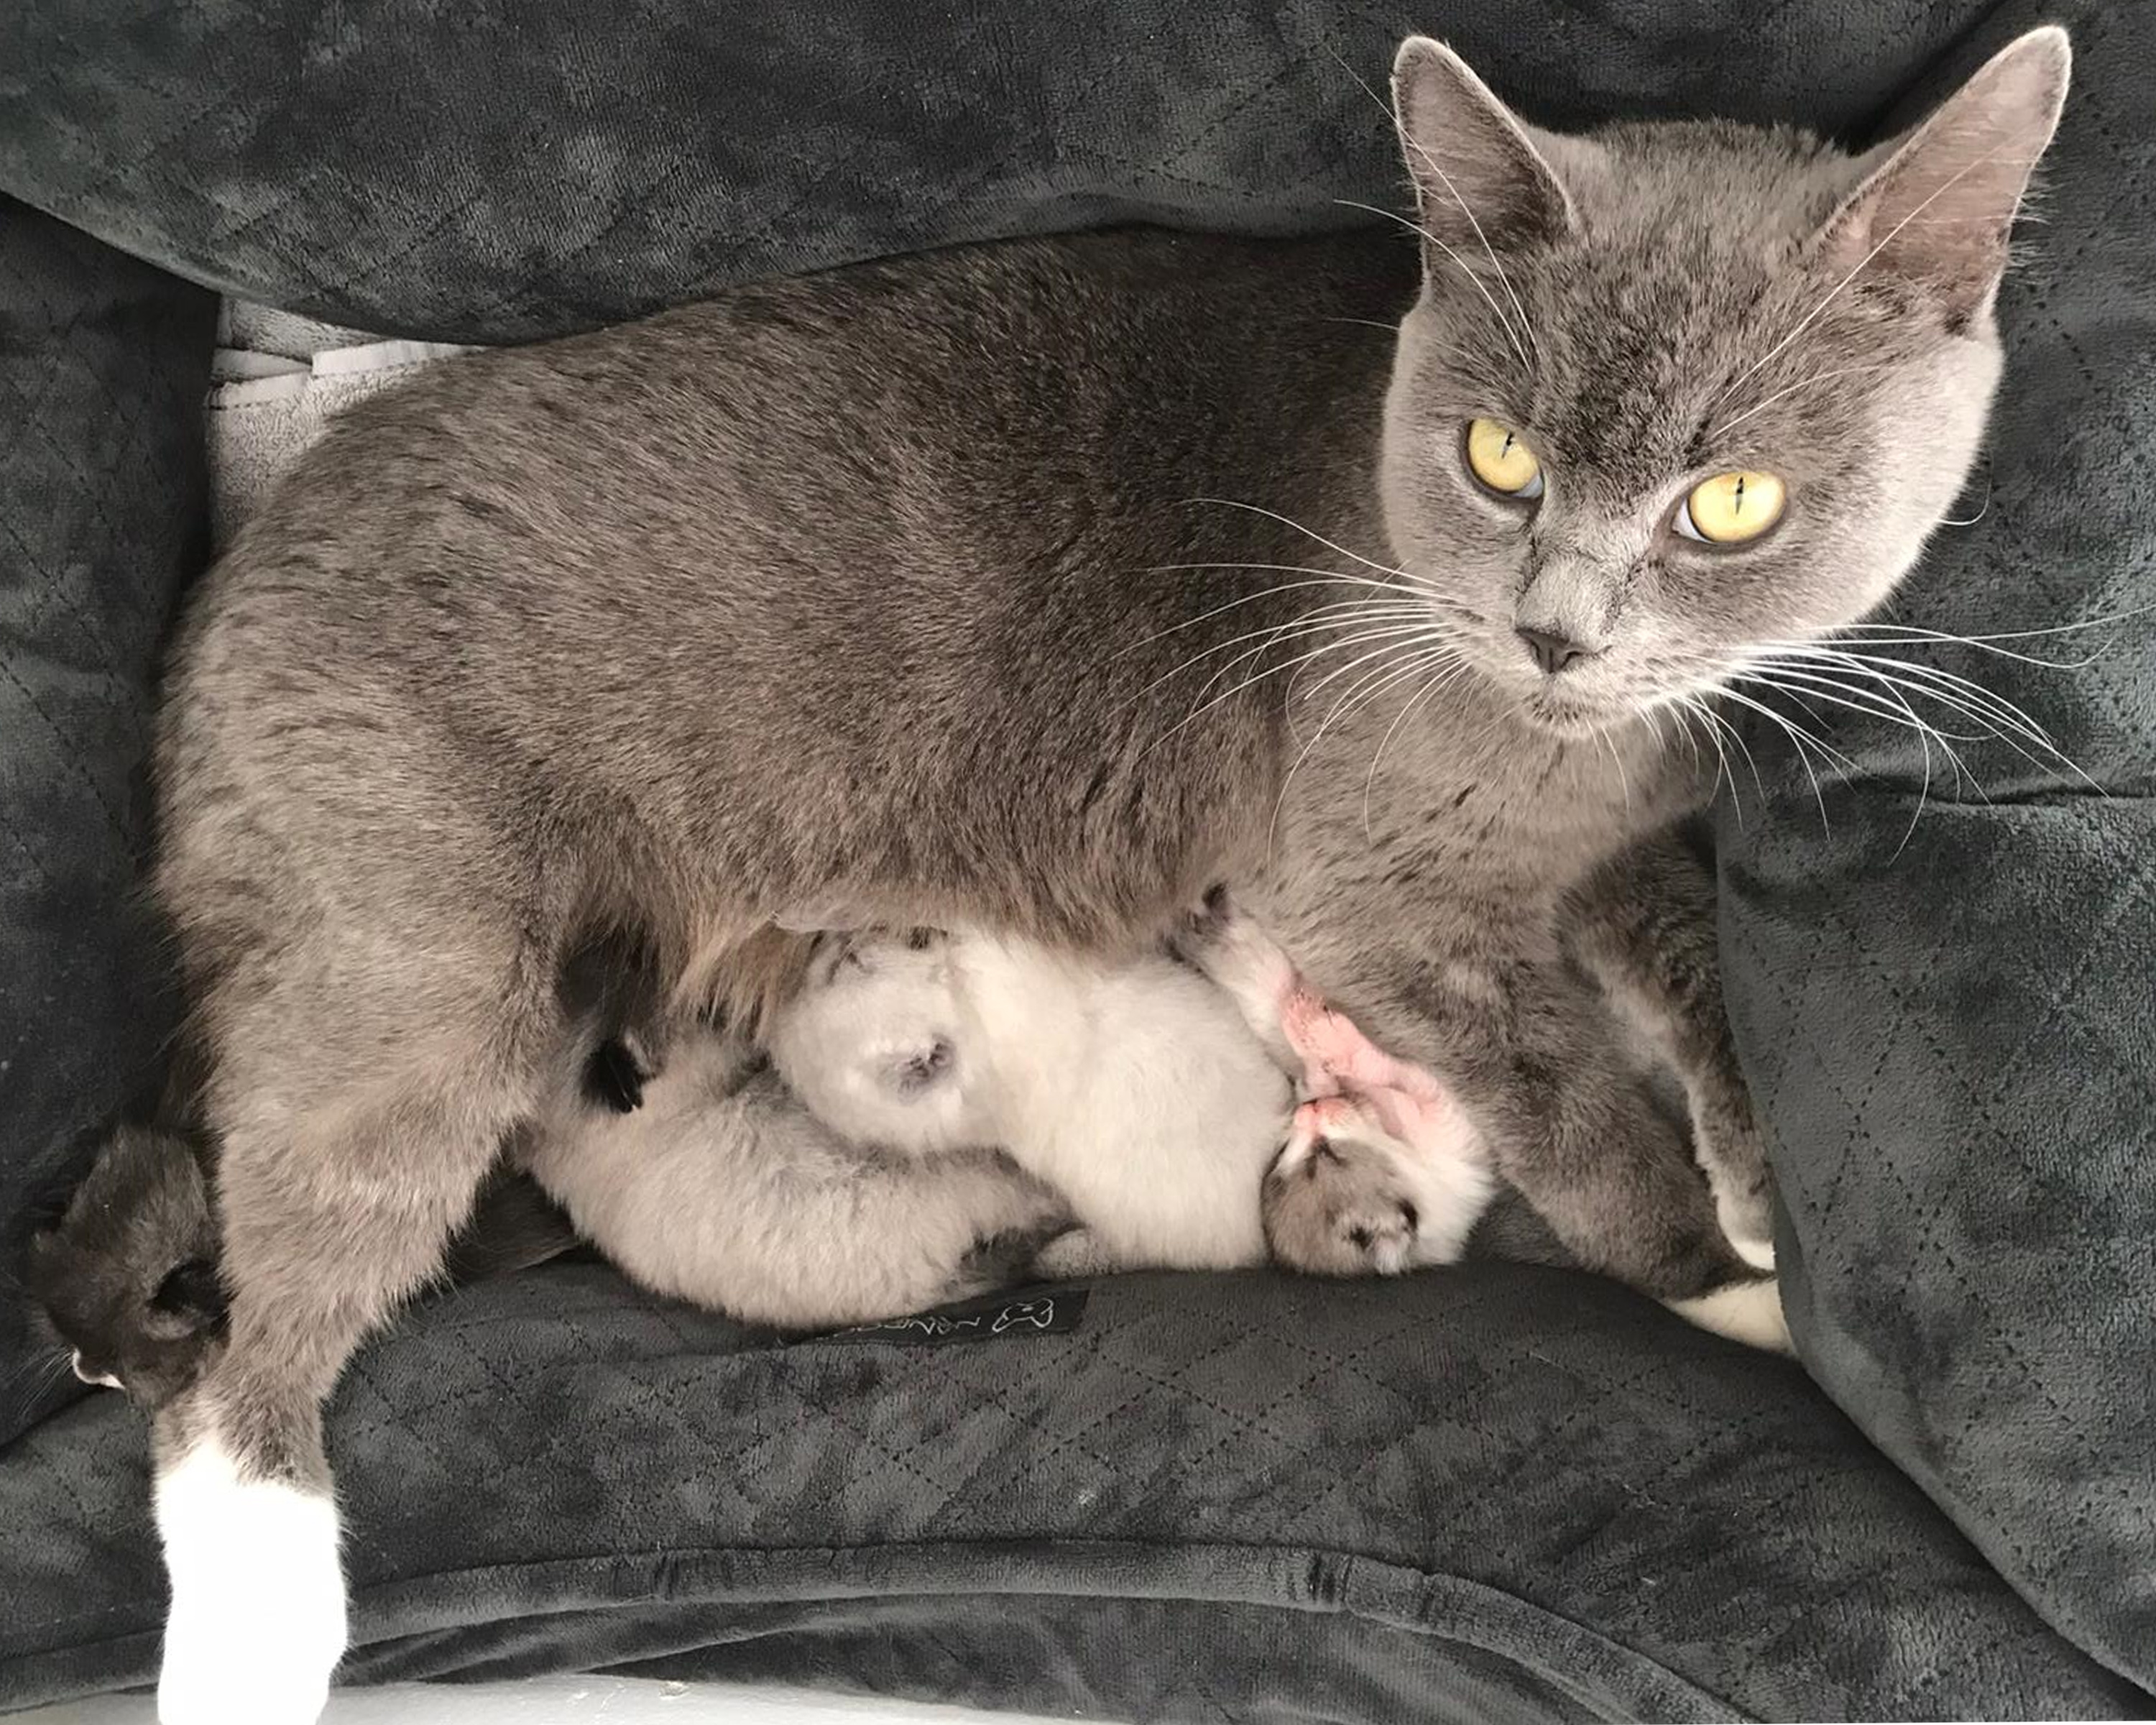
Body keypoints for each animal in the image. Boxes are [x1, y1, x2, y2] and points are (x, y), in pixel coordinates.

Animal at [139, 30, 2070, 1725]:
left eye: (1729, 502)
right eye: (1498, 458)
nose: (1554, 630)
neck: (1561, 741)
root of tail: (222, 593)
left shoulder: (1611, 823)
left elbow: (1684, 947)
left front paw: (1749, 1169)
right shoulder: (1378, 877)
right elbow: (1570, 1103)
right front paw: (1718, 1280)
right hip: (419, 942)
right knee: (243, 1343)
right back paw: (254, 1619)